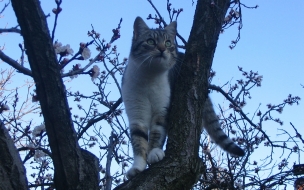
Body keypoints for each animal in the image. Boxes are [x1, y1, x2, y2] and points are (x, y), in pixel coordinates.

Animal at [121, 16, 245, 180]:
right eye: (150, 41)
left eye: (168, 43)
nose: (162, 49)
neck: (149, 76)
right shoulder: (136, 113)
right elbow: (138, 140)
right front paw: (138, 167)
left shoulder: (162, 109)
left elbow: (157, 133)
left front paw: (154, 153)